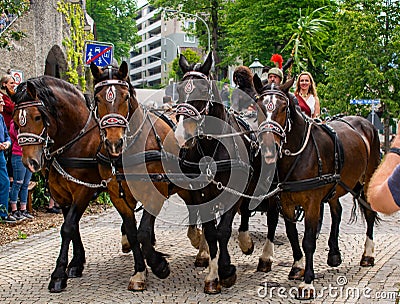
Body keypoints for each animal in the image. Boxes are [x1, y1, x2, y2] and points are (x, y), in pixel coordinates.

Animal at [9, 77, 107, 294]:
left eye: (38, 117)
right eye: (16, 121)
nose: (30, 162)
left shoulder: (83, 190)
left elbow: (68, 228)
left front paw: (58, 274)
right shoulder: (61, 193)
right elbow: (73, 226)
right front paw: (76, 263)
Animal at [89, 61, 211, 290]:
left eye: (125, 97)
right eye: (97, 98)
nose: (114, 142)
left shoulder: (155, 192)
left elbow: (143, 232)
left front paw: (159, 265)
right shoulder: (117, 196)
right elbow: (132, 232)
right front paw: (139, 271)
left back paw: (203, 250)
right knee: (192, 206)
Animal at [247, 75, 378, 298]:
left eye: (283, 107)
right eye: (259, 107)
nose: (269, 147)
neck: (299, 154)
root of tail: (364, 122)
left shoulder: (312, 203)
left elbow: (308, 240)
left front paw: (307, 282)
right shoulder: (286, 202)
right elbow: (292, 235)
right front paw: (297, 266)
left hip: (366, 180)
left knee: (369, 212)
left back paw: (367, 254)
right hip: (336, 186)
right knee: (337, 212)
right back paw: (334, 254)